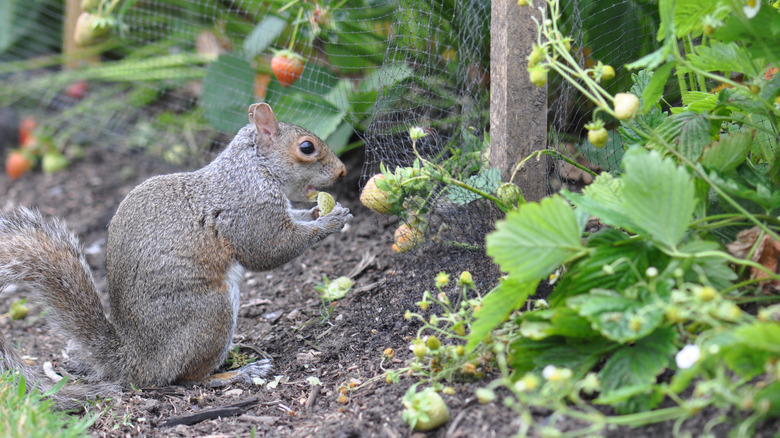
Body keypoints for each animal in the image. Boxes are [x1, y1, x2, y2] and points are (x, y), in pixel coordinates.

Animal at [0, 101, 350, 408]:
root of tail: (136, 360)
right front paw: (329, 221)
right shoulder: (248, 209)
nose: (343, 172)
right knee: (188, 378)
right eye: (307, 147)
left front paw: (321, 211)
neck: (253, 168)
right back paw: (237, 373)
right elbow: (268, 250)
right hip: (210, 314)